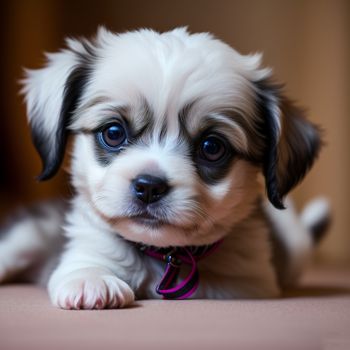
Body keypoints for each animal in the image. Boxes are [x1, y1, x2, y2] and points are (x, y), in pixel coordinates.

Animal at [0, 28, 328, 308]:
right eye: (113, 132)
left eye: (212, 147)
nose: (149, 186)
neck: (165, 259)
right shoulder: (86, 246)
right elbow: (84, 264)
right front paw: (92, 280)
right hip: (25, 237)